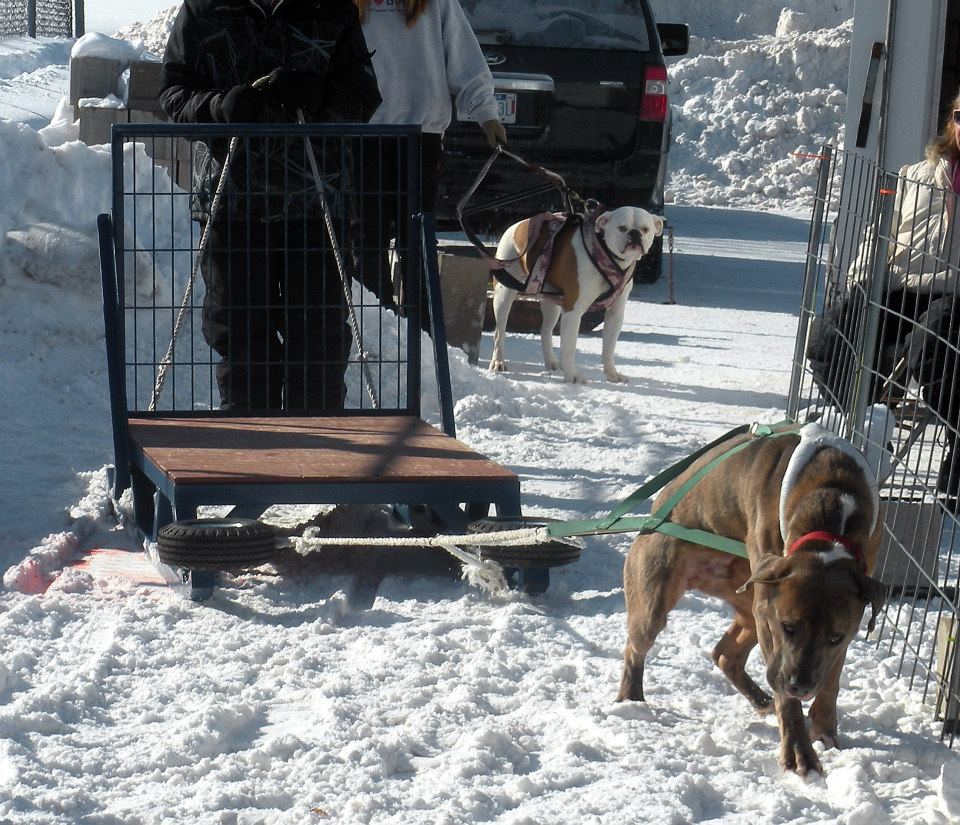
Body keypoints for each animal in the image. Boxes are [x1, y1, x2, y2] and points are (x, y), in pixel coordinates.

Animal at [620, 424, 888, 772]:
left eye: (835, 636)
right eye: (788, 627)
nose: (800, 686)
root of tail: (655, 513)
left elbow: (832, 675)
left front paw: (825, 728)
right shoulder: (772, 620)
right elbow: (788, 692)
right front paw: (800, 751)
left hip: (749, 596)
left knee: (725, 653)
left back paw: (762, 700)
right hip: (662, 595)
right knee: (636, 646)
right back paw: (631, 701)